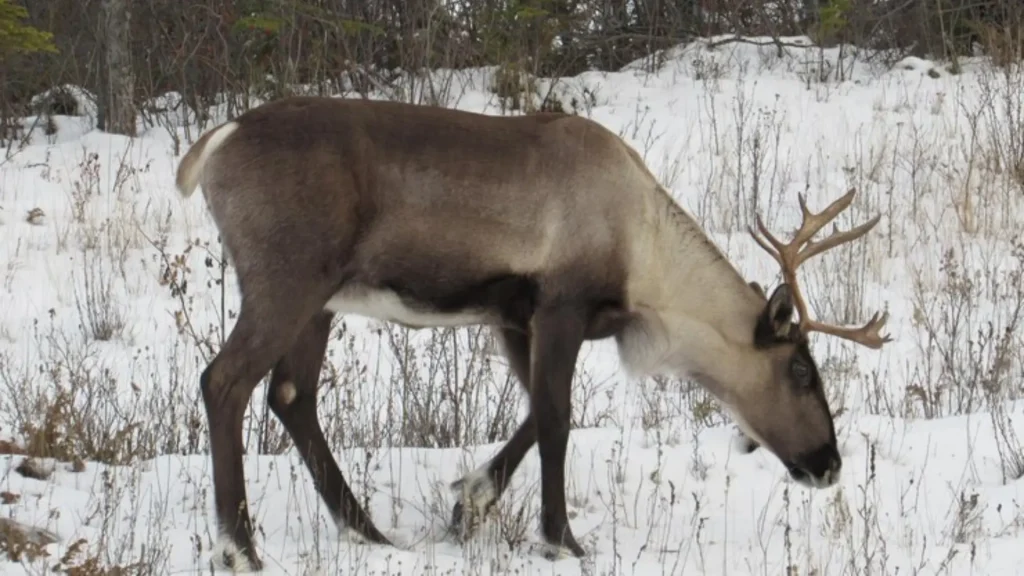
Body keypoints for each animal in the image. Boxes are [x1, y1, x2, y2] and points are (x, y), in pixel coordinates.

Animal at [173, 96, 891, 571]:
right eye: (801, 369)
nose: (829, 465)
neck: (645, 265)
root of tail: (214, 142)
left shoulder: (515, 320)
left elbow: (529, 414)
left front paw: (469, 504)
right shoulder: (560, 306)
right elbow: (555, 416)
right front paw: (562, 540)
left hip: (320, 301)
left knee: (291, 396)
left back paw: (367, 532)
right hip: (288, 278)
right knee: (224, 381)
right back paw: (240, 547)